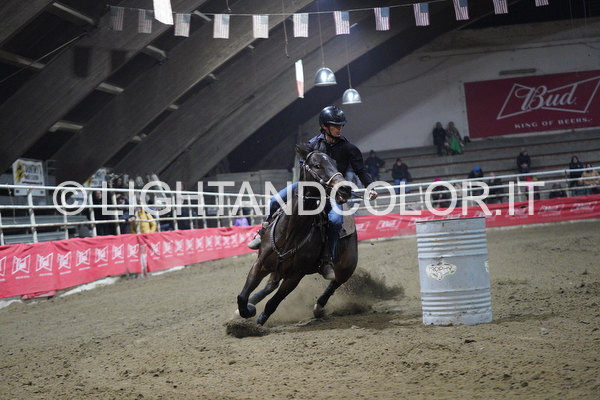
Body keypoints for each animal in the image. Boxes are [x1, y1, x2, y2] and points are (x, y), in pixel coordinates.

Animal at [236, 144, 358, 325]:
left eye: (336, 164)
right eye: (317, 165)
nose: (345, 188)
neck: (291, 231)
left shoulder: (295, 276)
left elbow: (273, 302)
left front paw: (259, 320)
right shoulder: (260, 263)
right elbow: (242, 296)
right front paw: (246, 310)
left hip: (347, 267)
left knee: (334, 283)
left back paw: (318, 307)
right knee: (270, 284)